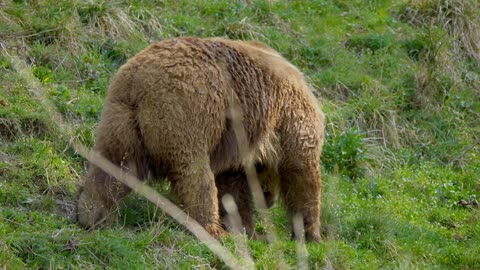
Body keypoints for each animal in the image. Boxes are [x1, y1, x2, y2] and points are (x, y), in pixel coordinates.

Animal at [77, 36, 324, 243]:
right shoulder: (290, 120)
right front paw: (310, 233)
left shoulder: (236, 146)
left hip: (121, 118)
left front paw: (245, 229)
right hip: (187, 113)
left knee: (113, 165)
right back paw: (211, 229)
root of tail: (138, 80)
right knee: (195, 176)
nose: (268, 200)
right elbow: (302, 174)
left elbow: (233, 190)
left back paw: (90, 214)